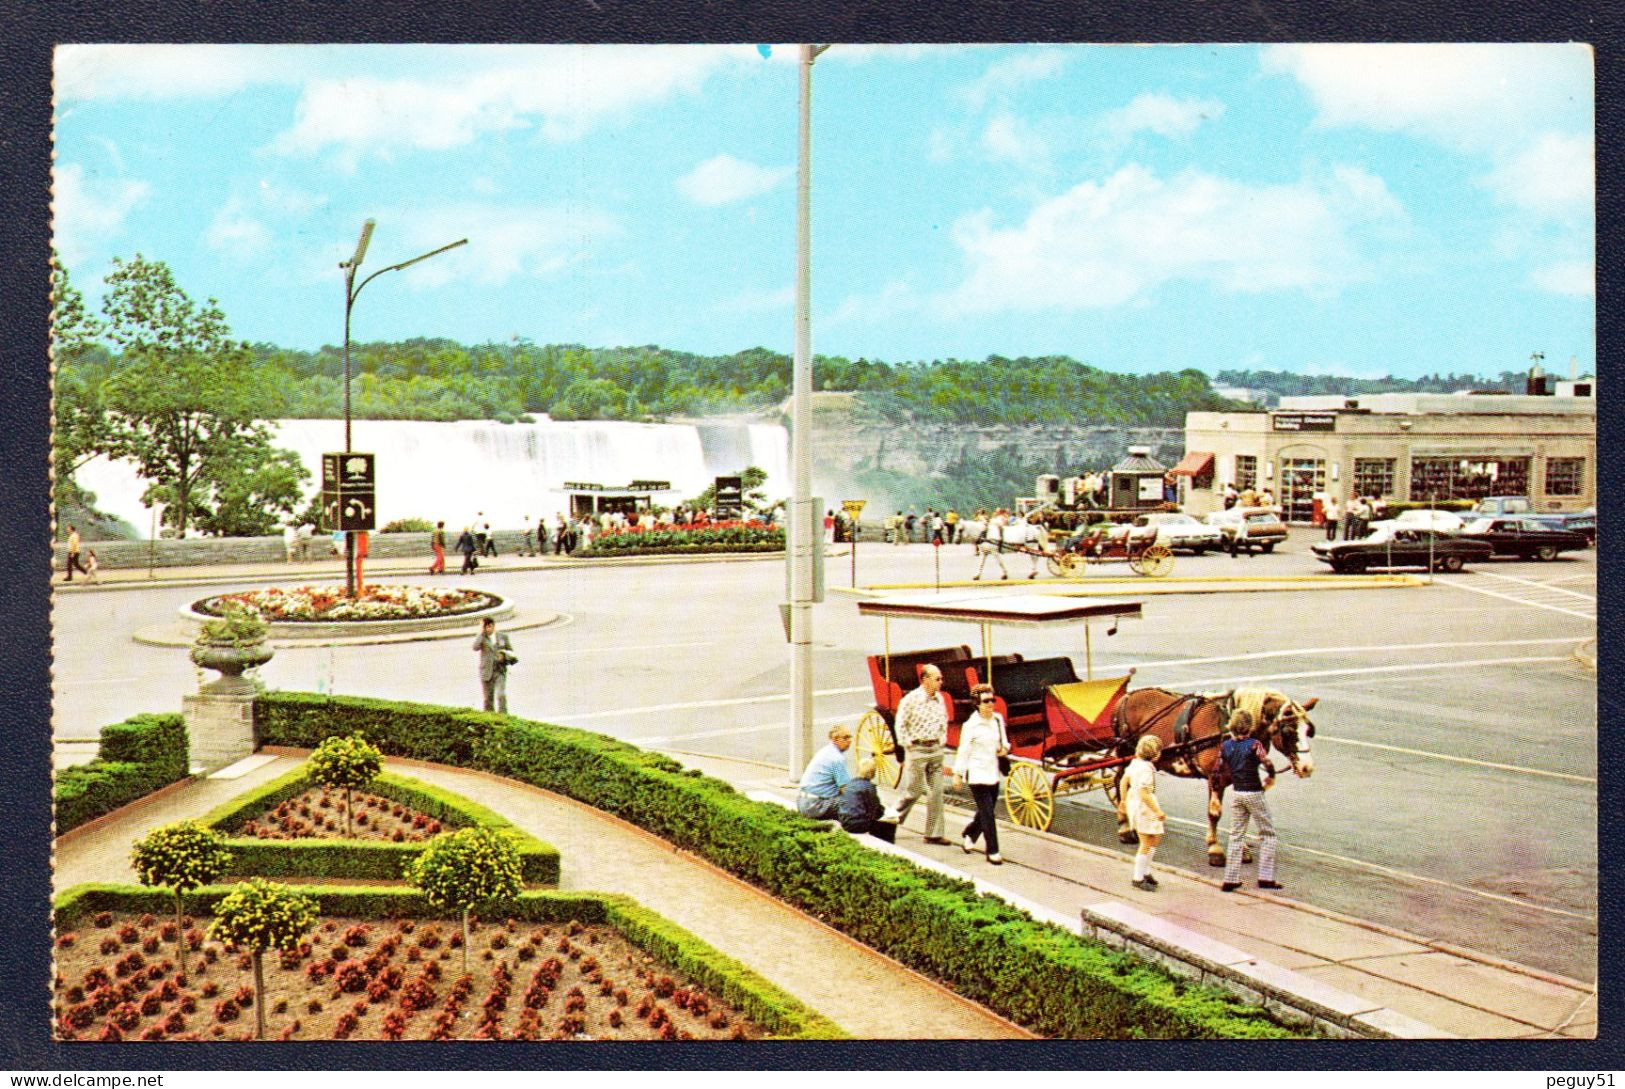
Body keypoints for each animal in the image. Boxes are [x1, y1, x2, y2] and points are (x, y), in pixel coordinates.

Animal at [1105, 692, 1319, 871]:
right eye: (1289, 731)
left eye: (1309, 730)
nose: (1307, 768)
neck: (1232, 733)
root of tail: (1126, 697)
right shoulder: (1216, 778)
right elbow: (1214, 813)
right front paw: (1215, 850)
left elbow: (1242, 814)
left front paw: (1242, 849)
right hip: (1125, 754)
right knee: (1119, 782)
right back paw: (1125, 827)